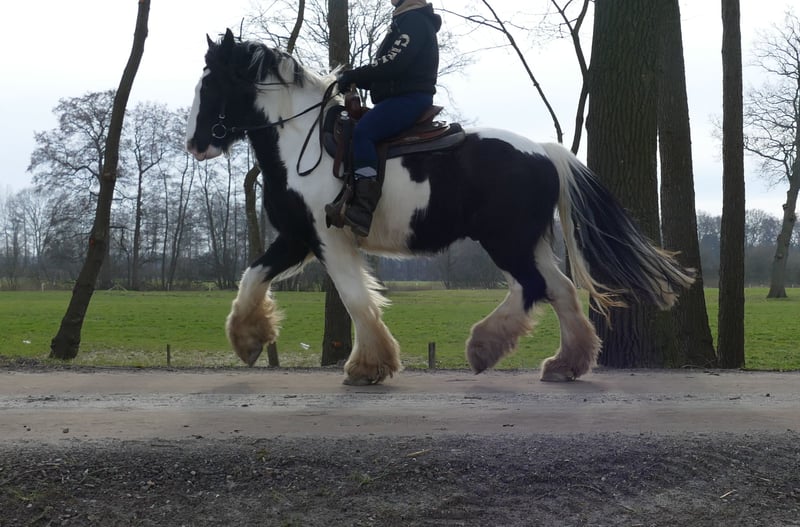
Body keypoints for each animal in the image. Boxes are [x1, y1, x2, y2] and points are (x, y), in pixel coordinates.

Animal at [186, 29, 695, 385]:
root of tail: (543, 151)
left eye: (211, 86)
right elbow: (252, 276)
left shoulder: (327, 237)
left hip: (505, 240)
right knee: (561, 290)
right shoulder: (298, 236)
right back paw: (564, 364)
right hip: (526, 241)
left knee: (533, 287)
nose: (195, 143)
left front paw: (368, 367)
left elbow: (355, 298)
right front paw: (248, 339)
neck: (302, 144)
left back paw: (485, 347)